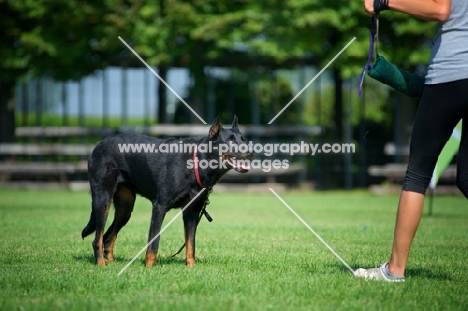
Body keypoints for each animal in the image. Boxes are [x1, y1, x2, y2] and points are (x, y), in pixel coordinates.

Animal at [82, 117, 254, 268]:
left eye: (244, 139)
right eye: (230, 140)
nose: (252, 152)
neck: (197, 163)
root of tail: (98, 145)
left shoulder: (192, 212)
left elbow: (190, 243)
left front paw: (191, 266)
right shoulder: (159, 207)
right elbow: (154, 242)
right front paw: (149, 268)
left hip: (125, 209)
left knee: (108, 237)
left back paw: (111, 263)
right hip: (103, 200)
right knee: (97, 239)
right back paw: (101, 264)